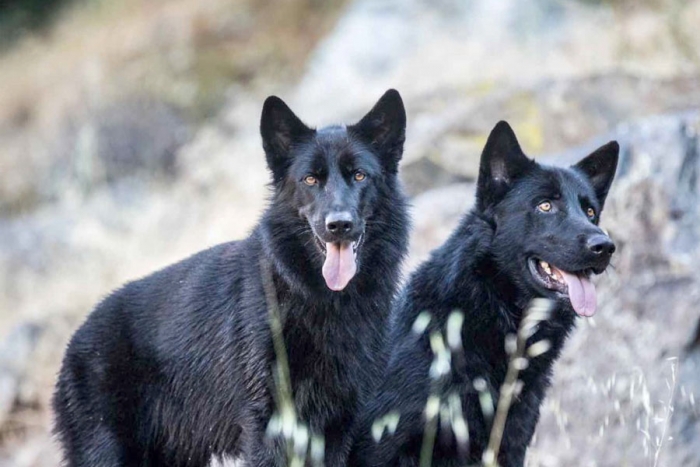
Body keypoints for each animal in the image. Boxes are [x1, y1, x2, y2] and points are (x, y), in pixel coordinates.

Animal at [53, 89, 410, 466]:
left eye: (359, 176)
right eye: (310, 180)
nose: (339, 224)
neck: (315, 296)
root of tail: (72, 345)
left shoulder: (338, 427)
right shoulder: (268, 428)